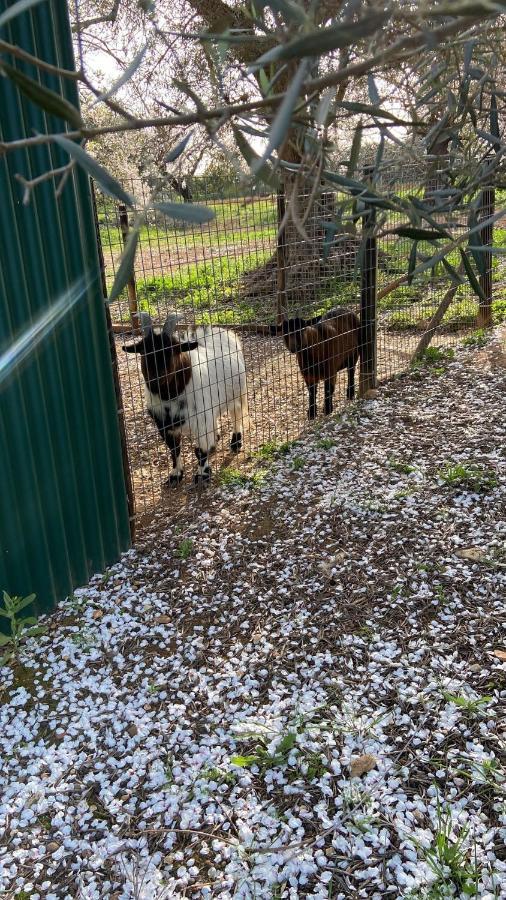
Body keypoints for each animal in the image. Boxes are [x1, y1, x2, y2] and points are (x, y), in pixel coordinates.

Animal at [123, 316, 249, 486]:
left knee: (237, 416)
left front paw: (203, 475)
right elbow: (174, 450)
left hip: (237, 394)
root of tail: (221, 330)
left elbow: (199, 451)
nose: (155, 380)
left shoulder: (201, 423)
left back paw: (236, 443)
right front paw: (175, 475)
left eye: (172, 350)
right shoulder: (164, 426)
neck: (170, 396)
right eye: (143, 351)